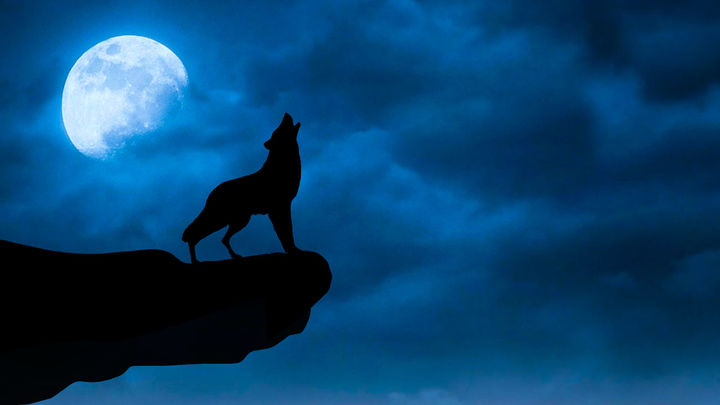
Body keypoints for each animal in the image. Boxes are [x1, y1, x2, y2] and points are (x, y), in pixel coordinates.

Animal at [182, 113, 302, 263]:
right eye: (278, 129)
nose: (286, 114)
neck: (283, 164)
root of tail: (211, 193)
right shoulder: (279, 208)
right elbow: (285, 233)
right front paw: (293, 251)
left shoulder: (282, 207)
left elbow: (287, 232)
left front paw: (294, 250)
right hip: (222, 220)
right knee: (195, 235)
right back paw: (195, 261)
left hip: (239, 221)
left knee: (223, 239)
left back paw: (233, 256)